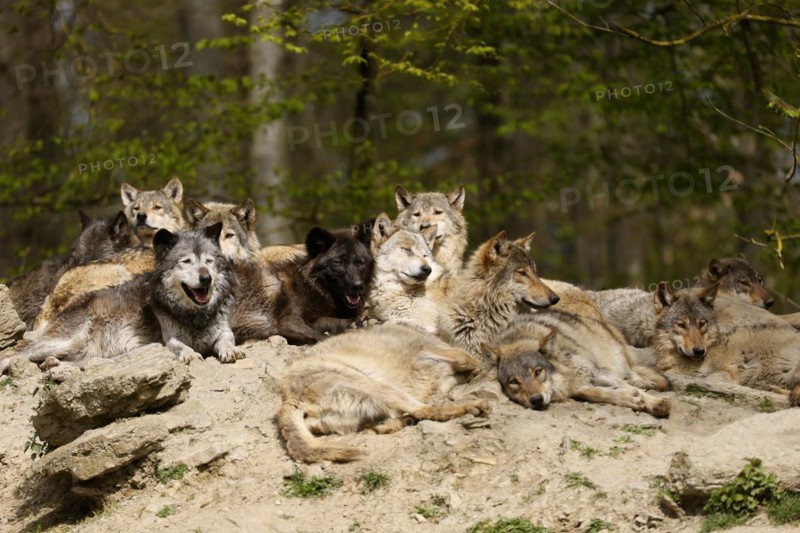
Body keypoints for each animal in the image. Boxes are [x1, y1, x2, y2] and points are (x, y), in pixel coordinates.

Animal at [19, 223, 243, 367]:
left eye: (209, 261)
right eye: (186, 261)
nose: (206, 278)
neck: (196, 316)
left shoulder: (224, 331)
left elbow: (226, 340)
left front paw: (230, 351)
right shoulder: (170, 339)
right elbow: (180, 347)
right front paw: (189, 354)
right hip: (66, 340)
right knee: (17, 353)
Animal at [278, 323, 492, 463]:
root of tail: (290, 399)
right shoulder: (439, 353)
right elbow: (468, 361)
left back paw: (398, 422)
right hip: (377, 385)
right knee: (425, 411)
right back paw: (473, 406)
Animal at [484, 285, 671, 417]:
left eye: (538, 372)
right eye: (514, 382)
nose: (536, 400)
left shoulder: (598, 372)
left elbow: (635, 390)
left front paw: (655, 403)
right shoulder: (577, 386)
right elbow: (595, 393)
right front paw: (627, 398)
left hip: (615, 354)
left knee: (633, 374)